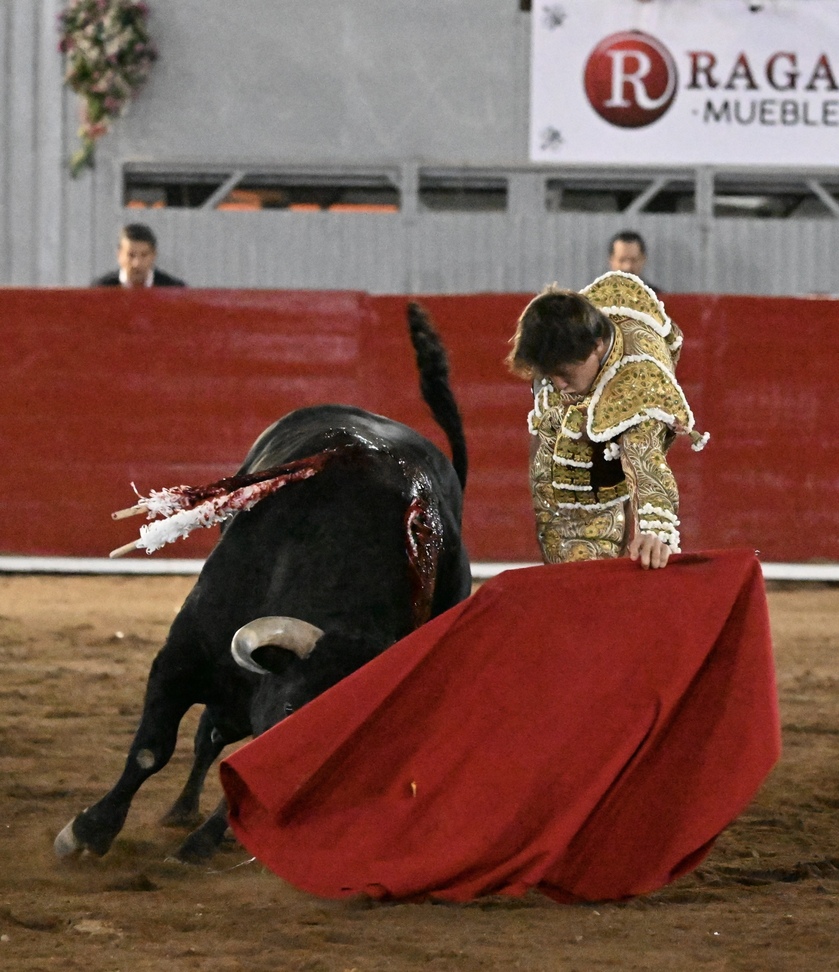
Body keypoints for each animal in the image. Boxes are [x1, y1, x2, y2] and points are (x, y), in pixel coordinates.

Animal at [54, 303, 471, 863]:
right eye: (293, 709)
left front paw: (204, 841)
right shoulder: (182, 656)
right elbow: (151, 749)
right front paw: (89, 831)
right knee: (208, 737)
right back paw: (179, 811)